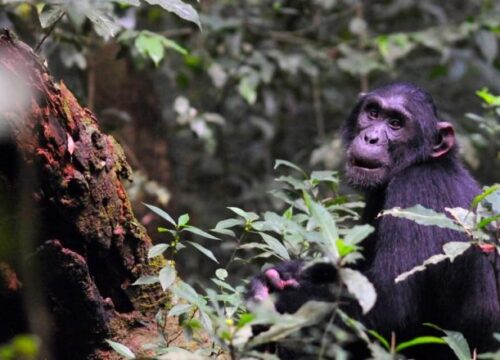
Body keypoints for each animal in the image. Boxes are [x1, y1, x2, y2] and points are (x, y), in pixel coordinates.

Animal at [250, 82, 500, 358]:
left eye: (396, 123)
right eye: (372, 113)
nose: (371, 137)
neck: (422, 162)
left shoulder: (415, 190)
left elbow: (389, 306)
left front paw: (273, 300)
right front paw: (281, 274)